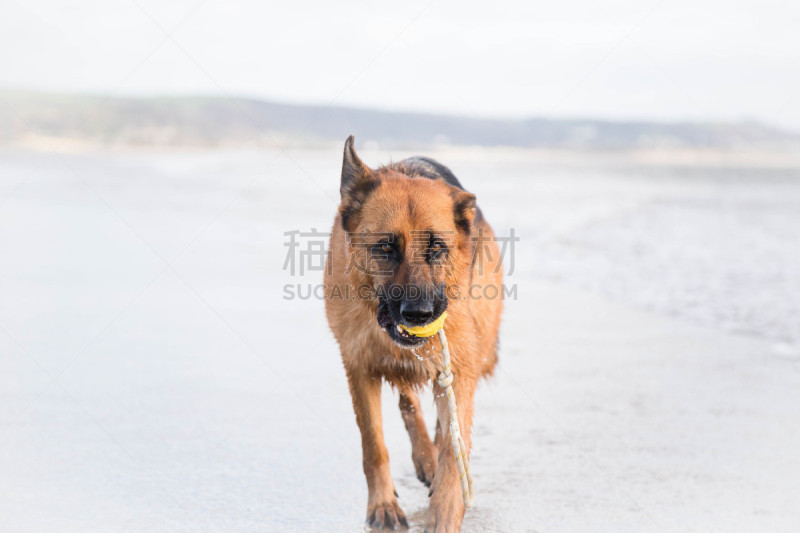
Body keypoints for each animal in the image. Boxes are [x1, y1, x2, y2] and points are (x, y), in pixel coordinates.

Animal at [324, 136, 503, 532]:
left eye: (437, 248)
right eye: (385, 247)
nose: (420, 315)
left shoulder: (460, 369)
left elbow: (454, 450)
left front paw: (444, 514)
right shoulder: (359, 366)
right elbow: (373, 444)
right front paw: (383, 505)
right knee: (408, 399)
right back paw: (423, 455)